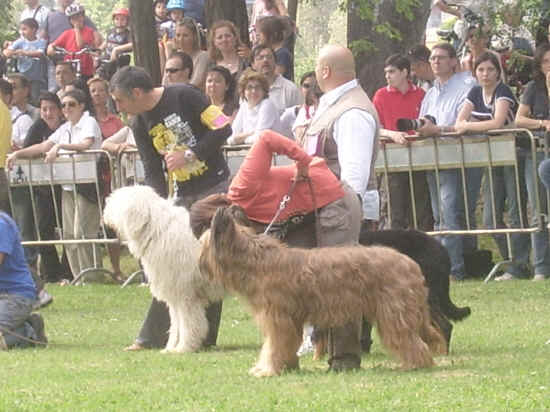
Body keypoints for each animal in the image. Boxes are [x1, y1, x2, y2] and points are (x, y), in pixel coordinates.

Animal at [102, 185, 225, 352]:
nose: (105, 211)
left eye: (119, 200)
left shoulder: (186, 294)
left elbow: (188, 323)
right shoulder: (174, 294)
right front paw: (171, 347)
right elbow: (176, 324)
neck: (157, 231)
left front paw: (183, 347)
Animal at [201, 206, 446, 376]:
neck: (255, 261)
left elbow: (273, 346)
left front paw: (267, 370)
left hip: (393, 314)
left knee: (410, 341)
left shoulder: (278, 319)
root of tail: (411, 264)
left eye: (203, 243)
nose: (200, 266)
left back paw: (415, 364)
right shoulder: (290, 321)